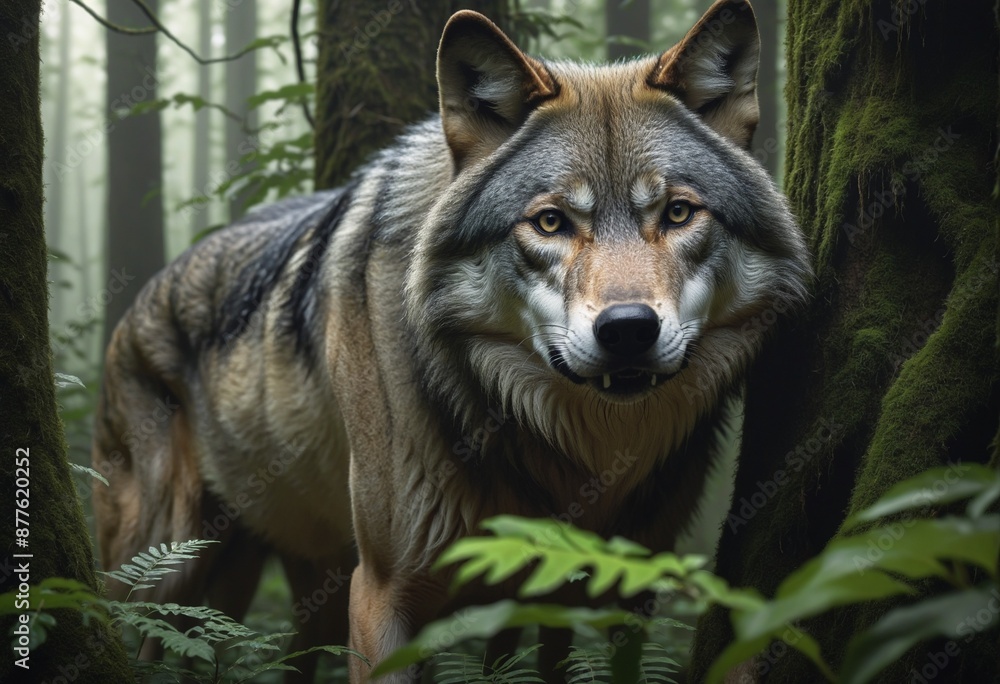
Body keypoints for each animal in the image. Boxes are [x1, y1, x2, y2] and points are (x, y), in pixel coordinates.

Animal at [92, 1, 810, 681]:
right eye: (550, 223)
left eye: (679, 213)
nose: (628, 330)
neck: (574, 461)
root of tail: (137, 302)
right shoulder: (382, 591)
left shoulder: (620, 596)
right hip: (166, 576)